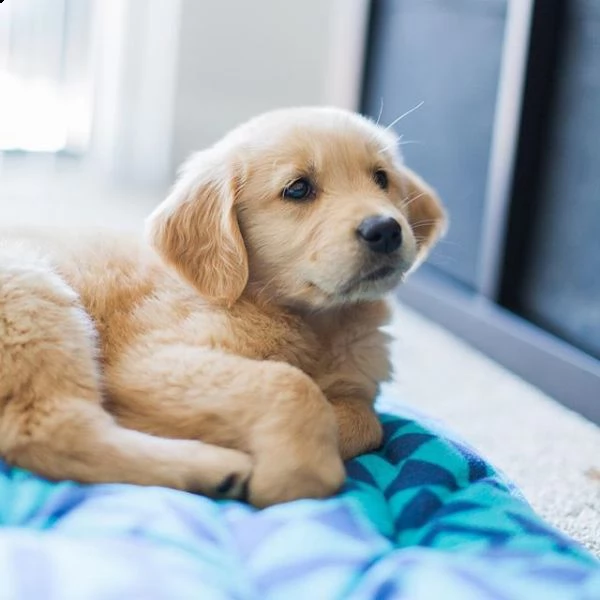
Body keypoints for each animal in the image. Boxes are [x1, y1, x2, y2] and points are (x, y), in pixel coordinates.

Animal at [0, 106, 442, 506]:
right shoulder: (151, 361)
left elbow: (367, 419)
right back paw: (215, 468)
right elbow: (289, 382)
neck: (315, 322)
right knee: (51, 428)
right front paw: (298, 472)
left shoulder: (356, 383)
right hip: (33, 296)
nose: (385, 230)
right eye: (298, 189)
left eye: (381, 178)